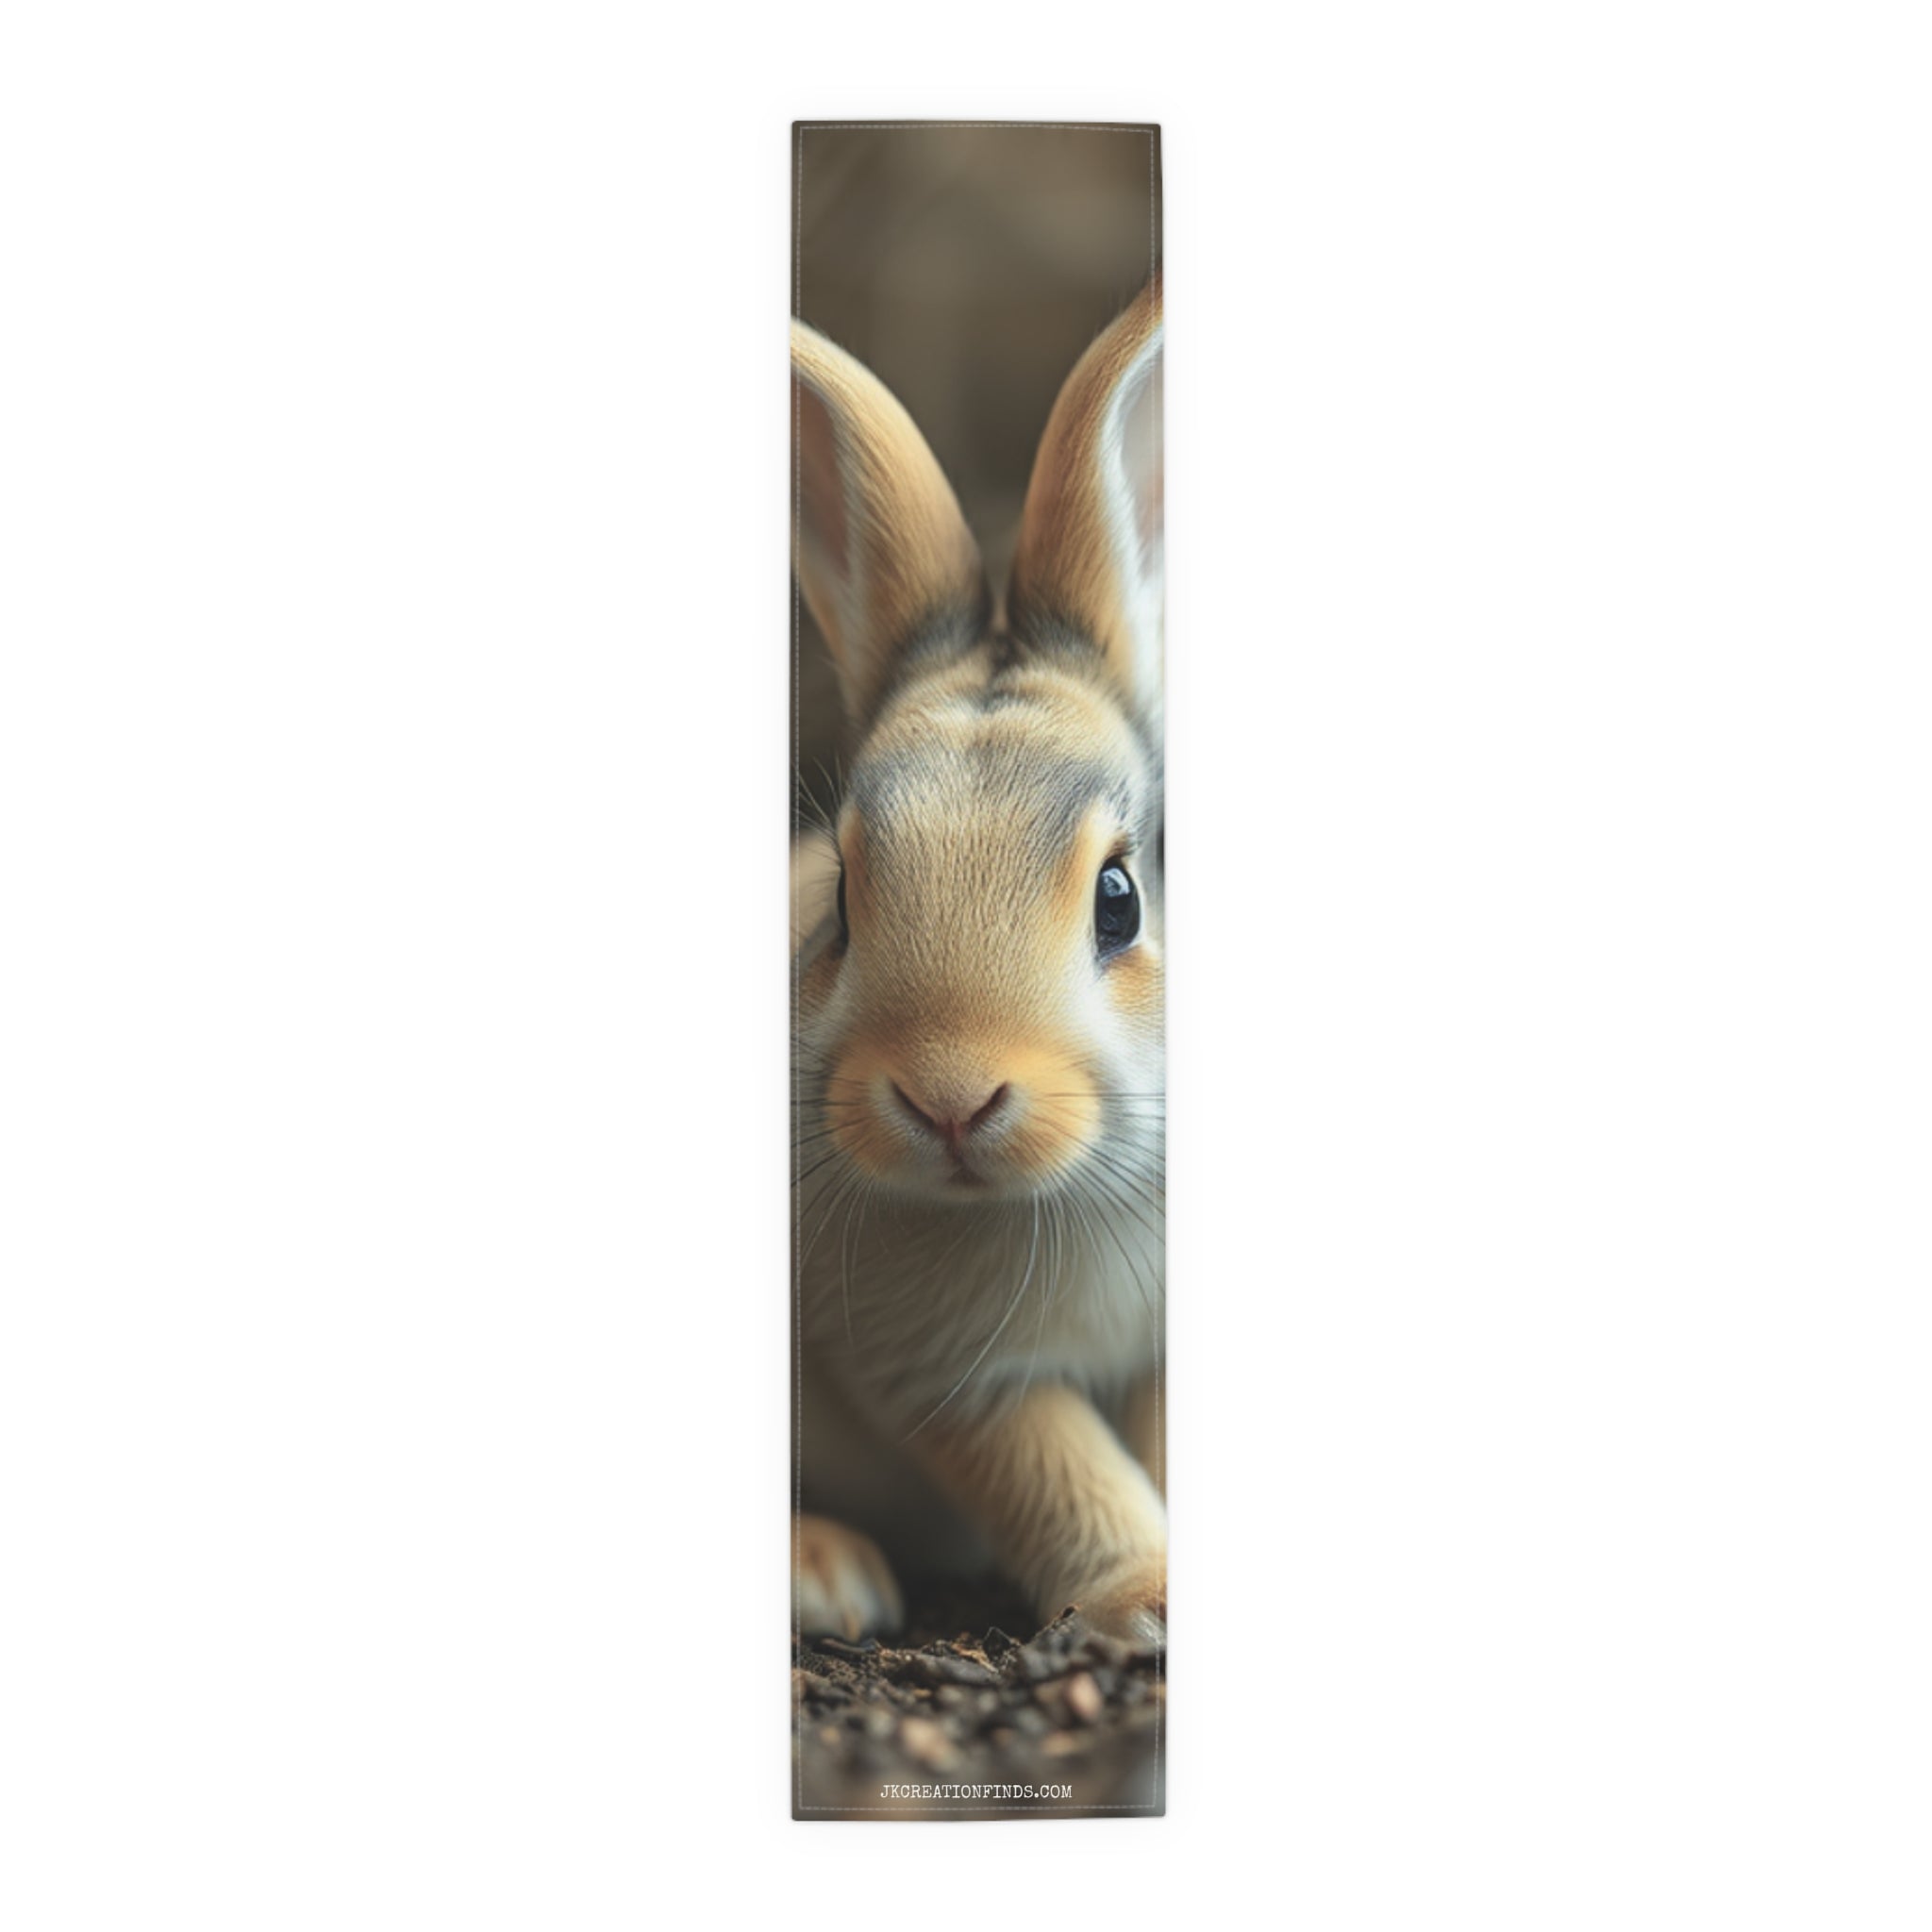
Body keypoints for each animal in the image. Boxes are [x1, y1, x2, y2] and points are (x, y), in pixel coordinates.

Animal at [793, 282, 1165, 1650]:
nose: (948, 1096)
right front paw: (1146, 1597)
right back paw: (825, 1572)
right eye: (845, 901)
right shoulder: (946, 1374)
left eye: (1119, 898)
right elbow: (1056, 1465)